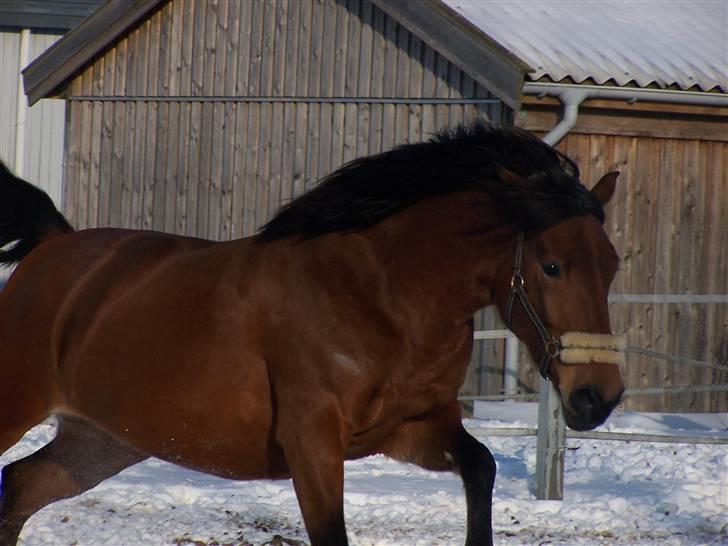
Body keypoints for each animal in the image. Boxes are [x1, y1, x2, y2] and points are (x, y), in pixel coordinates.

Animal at [0, 123, 624, 544]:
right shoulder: (313, 442)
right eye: (551, 265)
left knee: (20, 488)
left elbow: (482, 467)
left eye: (612, 264)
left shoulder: (409, 430)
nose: (598, 396)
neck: (380, 296)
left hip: (104, 441)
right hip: (22, 410)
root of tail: (52, 246)